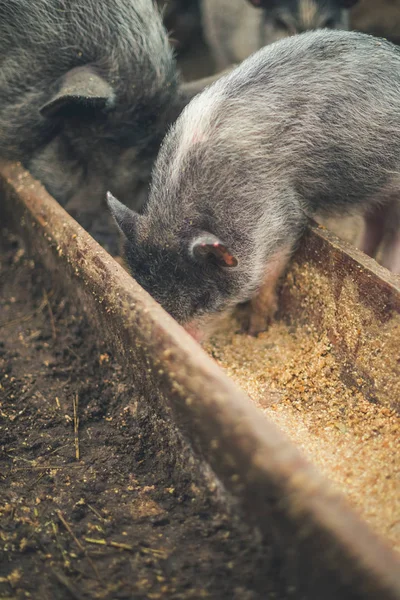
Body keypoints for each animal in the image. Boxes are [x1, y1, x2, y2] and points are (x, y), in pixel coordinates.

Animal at [106, 30, 400, 340]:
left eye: (204, 299)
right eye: (148, 289)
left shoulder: (279, 221)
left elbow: (267, 279)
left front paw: (256, 330)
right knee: (376, 222)